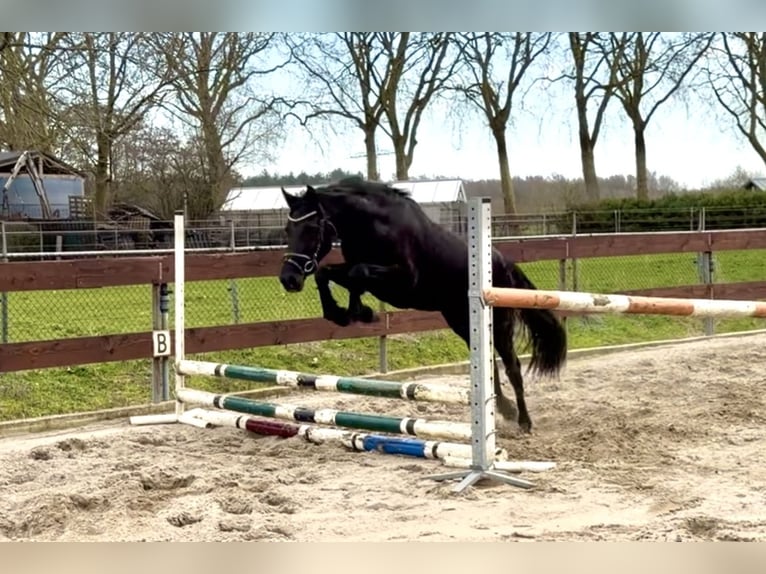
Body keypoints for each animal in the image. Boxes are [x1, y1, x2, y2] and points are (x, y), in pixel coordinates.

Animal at [277, 178, 567, 433]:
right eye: (288, 230)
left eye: (311, 228)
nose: (289, 279)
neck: (372, 224)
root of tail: (503, 262)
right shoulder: (362, 273)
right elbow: (328, 274)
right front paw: (347, 313)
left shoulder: (403, 280)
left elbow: (357, 273)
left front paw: (357, 312)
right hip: (462, 322)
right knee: (491, 366)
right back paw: (506, 410)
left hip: (499, 322)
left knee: (513, 366)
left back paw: (524, 421)